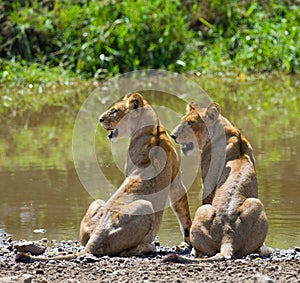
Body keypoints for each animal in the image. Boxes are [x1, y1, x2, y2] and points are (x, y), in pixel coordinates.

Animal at [169, 102, 270, 262]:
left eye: (190, 123)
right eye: (183, 120)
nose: (173, 136)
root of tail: (227, 235)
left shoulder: (207, 183)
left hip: (203, 209)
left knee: (201, 251)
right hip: (255, 202)